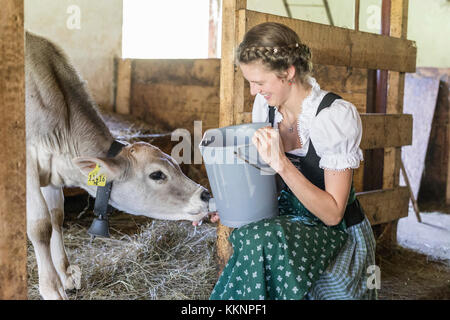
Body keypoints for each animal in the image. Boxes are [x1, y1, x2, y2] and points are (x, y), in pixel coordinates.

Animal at [24, 31, 207, 298]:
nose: (205, 195)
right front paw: (51, 288)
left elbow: (56, 216)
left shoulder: (51, 169)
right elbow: (40, 225)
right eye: (157, 175)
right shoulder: (28, 165)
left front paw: (66, 276)